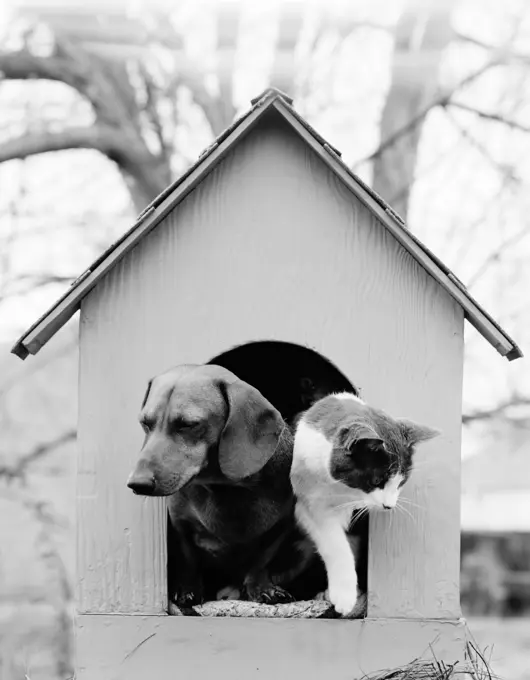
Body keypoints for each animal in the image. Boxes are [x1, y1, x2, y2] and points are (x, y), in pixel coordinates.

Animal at [127, 364, 322, 608]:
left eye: (188, 425)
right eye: (146, 423)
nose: (137, 483)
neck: (224, 488)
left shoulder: (279, 528)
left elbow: (261, 561)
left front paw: (261, 588)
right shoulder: (181, 527)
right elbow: (188, 558)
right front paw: (188, 590)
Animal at [288, 388, 438, 616]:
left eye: (401, 482)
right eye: (376, 481)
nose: (388, 506)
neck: (344, 491)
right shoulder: (308, 498)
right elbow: (334, 542)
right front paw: (344, 595)